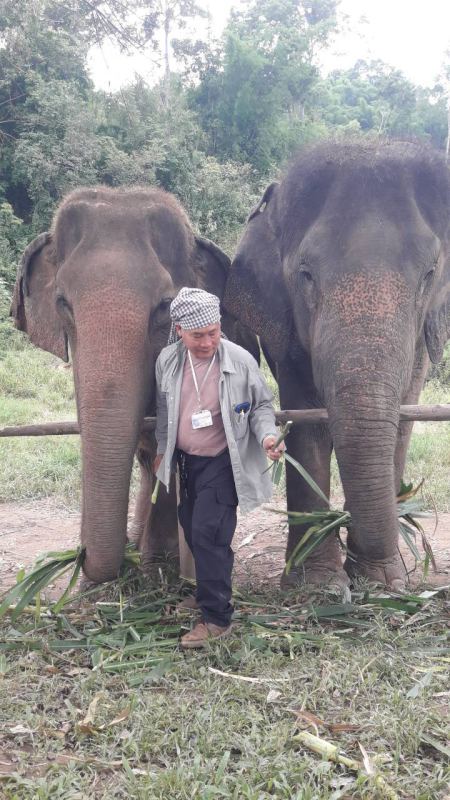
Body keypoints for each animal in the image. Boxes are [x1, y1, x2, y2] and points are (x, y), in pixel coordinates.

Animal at [224, 139, 450, 590]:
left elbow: (401, 418)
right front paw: (316, 585)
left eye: (429, 274)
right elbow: (307, 422)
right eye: (306, 275)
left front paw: (383, 583)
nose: (343, 525)